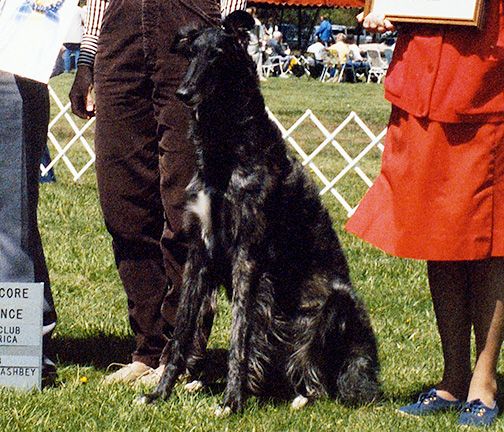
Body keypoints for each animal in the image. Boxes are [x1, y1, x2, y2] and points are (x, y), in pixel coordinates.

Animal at [136, 10, 380, 414]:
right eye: (192, 52)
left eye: (218, 55)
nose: (184, 93)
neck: (226, 152)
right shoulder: (199, 250)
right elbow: (183, 331)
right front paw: (160, 392)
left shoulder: (247, 254)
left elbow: (240, 336)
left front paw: (232, 400)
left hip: (332, 306)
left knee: (320, 381)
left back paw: (301, 395)